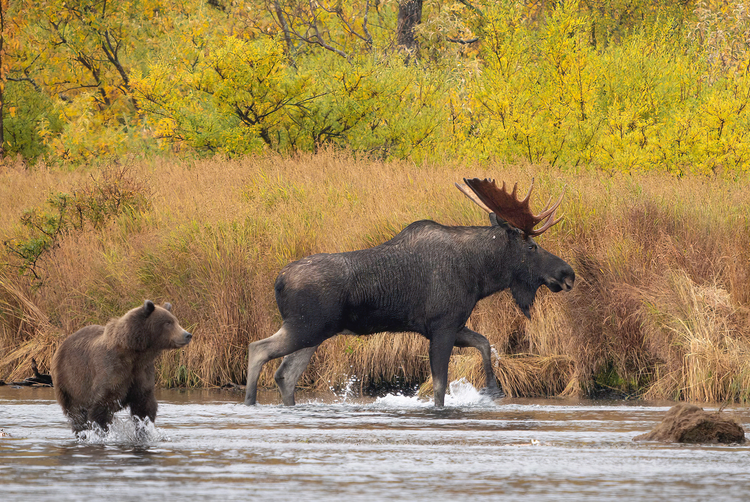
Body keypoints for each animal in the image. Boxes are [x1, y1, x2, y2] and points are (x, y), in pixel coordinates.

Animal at [51, 300, 192, 434]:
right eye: (168, 323)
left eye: (176, 321)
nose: (187, 334)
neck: (135, 353)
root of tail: (62, 344)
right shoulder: (112, 368)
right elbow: (101, 407)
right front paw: (102, 432)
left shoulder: (142, 371)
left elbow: (144, 407)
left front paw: (144, 430)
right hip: (70, 381)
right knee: (76, 413)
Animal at [244, 178, 575, 407]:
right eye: (532, 247)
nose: (567, 274)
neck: (479, 276)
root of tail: (278, 281)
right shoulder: (442, 325)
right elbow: (440, 387)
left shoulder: (450, 324)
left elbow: (484, 342)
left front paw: (491, 389)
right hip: (305, 327)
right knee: (258, 349)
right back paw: (250, 403)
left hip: (315, 333)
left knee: (285, 375)